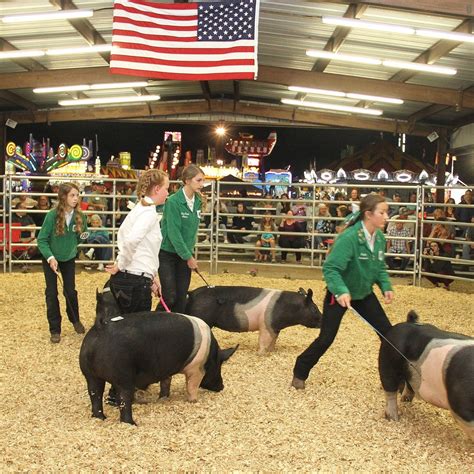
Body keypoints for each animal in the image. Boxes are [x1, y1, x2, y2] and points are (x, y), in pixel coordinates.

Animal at [80, 288, 241, 426]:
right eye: (219, 365)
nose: (221, 386)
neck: (210, 355)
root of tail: (100, 327)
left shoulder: (166, 369)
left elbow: (166, 382)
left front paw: (163, 398)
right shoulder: (196, 370)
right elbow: (192, 387)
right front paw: (194, 401)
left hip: (89, 374)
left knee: (95, 395)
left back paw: (100, 417)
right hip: (123, 377)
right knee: (124, 401)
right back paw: (132, 423)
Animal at [185, 286, 322, 356]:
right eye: (315, 309)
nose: (322, 320)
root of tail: (191, 293)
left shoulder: (275, 328)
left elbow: (273, 340)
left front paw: (271, 351)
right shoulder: (265, 325)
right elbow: (263, 341)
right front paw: (260, 354)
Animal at [380, 312, 472, 440]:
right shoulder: (461, 405)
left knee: (409, 385)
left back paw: (406, 400)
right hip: (387, 361)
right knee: (390, 389)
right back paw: (393, 418)